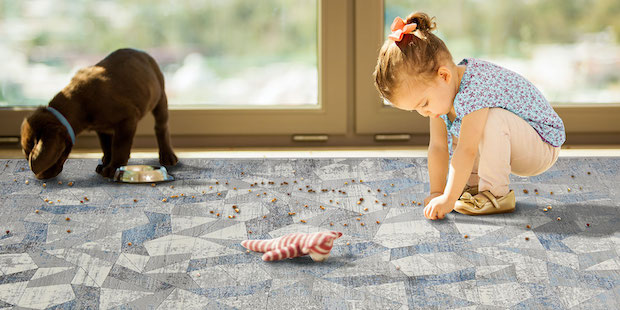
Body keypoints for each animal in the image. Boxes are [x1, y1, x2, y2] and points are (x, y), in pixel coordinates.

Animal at [20, 48, 178, 179]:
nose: (40, 178)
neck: (78, 102)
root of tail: (142, 53)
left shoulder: (127, 120)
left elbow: (119, 146)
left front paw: (114, 168)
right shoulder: (102, 129)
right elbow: (107, 147)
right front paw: (106, 162)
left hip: (160, 97)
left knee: (161, 127)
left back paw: (167, 155)